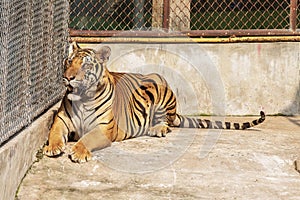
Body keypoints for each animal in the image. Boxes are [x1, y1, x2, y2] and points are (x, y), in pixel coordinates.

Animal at [42, 42, 264, 162]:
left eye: (86, 65)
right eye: (69, 61)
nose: (68, 78)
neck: (82, 98)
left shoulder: (103, 129)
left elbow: (87, 139)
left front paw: (79, 152)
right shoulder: (61, 121)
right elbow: (54, 132)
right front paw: (52, 147)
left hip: (159, 83)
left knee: (167, 122)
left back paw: (157, 129)